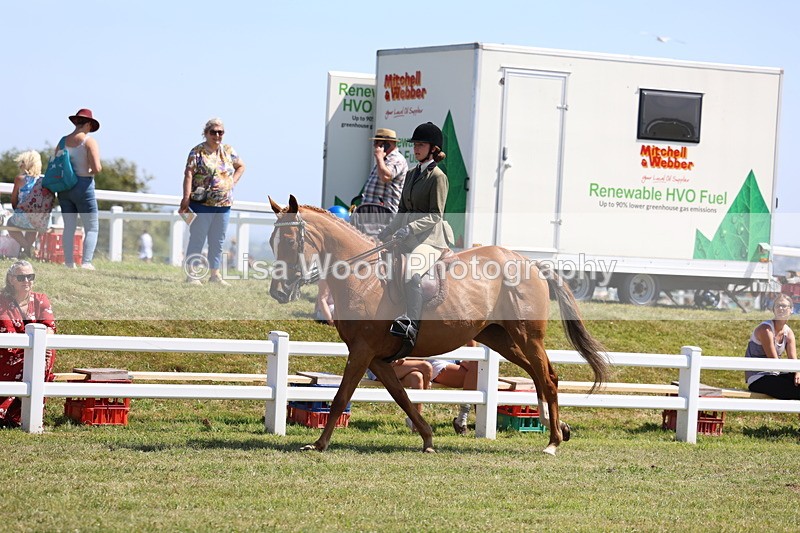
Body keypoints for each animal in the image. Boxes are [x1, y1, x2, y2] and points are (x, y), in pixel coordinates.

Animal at [268, 195, 609, 455]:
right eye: (272, 241)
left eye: (289, 240)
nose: (278, 292)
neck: (362, 275)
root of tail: (532, 264)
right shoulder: (376, 357)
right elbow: (402, 397)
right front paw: (428, 439)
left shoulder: (363, 351)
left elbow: (341, 397)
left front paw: (318, 444)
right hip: (501, 339)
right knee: (541, 376)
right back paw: (559, 428)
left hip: (527, 336)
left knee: (547, 378)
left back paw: (552, 442)